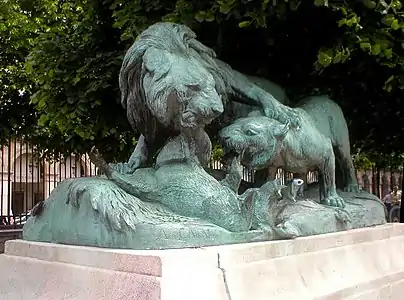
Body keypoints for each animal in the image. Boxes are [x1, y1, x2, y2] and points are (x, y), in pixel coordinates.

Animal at [115, 21, 298, 173]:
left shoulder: (227, 77)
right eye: (193, 86)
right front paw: (132, 163)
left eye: (212, 84)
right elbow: (146, 142)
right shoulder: (152, 118)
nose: (218, 110)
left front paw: (285, 113)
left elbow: (255, 91)